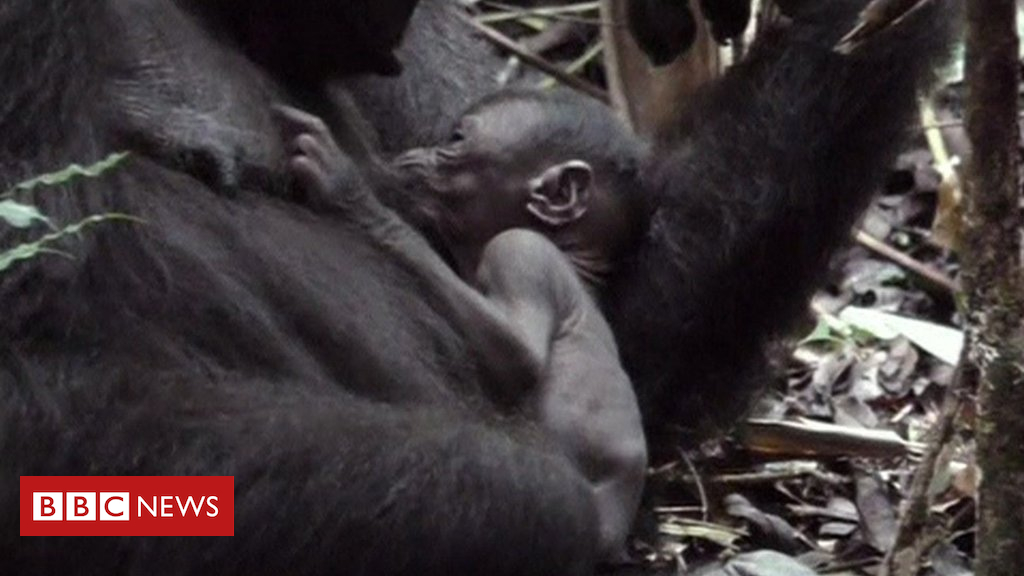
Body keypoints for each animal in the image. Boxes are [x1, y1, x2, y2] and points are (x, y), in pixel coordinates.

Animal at [278, 90, 647, 561]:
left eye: (455, 139)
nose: (416, 152)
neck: (575, 255)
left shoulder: (519, 251)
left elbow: (518, 357)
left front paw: (352, 195)